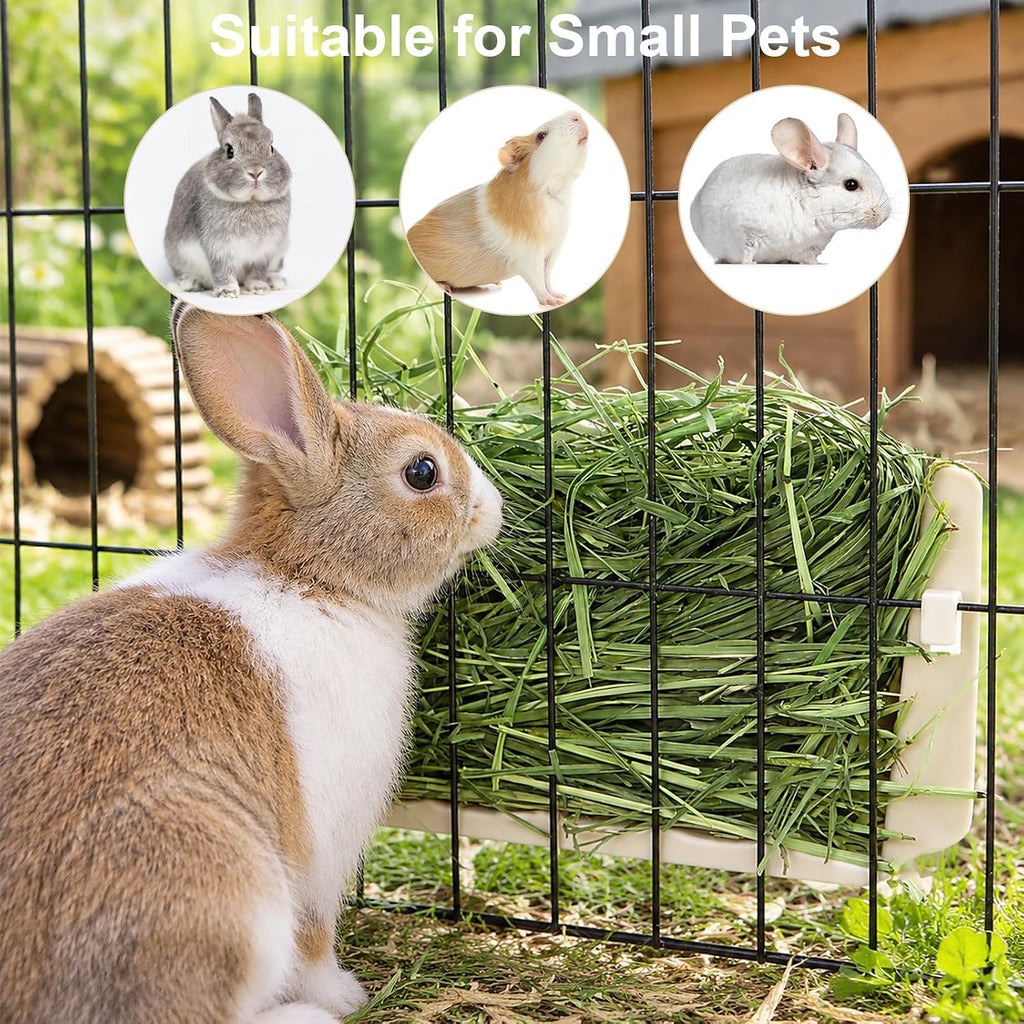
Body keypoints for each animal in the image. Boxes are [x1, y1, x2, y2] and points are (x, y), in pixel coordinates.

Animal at [0, 303, 503, 1024]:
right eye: (422, 473)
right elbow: (316, 938)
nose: (494, 508)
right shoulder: (318, 844)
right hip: (226, 886)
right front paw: (344, 994)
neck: (311, 578)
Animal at [165, 93, 292, 298]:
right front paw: (227, 292)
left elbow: (258, 270)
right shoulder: (218, 247)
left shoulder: (265, 250)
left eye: (271, 146)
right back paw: (190, 283)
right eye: (229, 150)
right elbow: (222, 269)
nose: (255, 172)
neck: (250, 201)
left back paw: (275, 281)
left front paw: (258, 287)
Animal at [406, 109, 589, 307]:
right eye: (541, 135)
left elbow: (547, 277)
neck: (552, 193)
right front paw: (551, 301)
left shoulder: (552, 251)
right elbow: (538, 281)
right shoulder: (529, 256)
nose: (577, 115)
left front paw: (560, 296)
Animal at [689, 112, 891, 265]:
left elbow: (810, 259)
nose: (885, 214)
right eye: (851, 185)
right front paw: (749, 264)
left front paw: (820, 264)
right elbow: (746, 252)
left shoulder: (811, 246)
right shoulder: (747, 230)